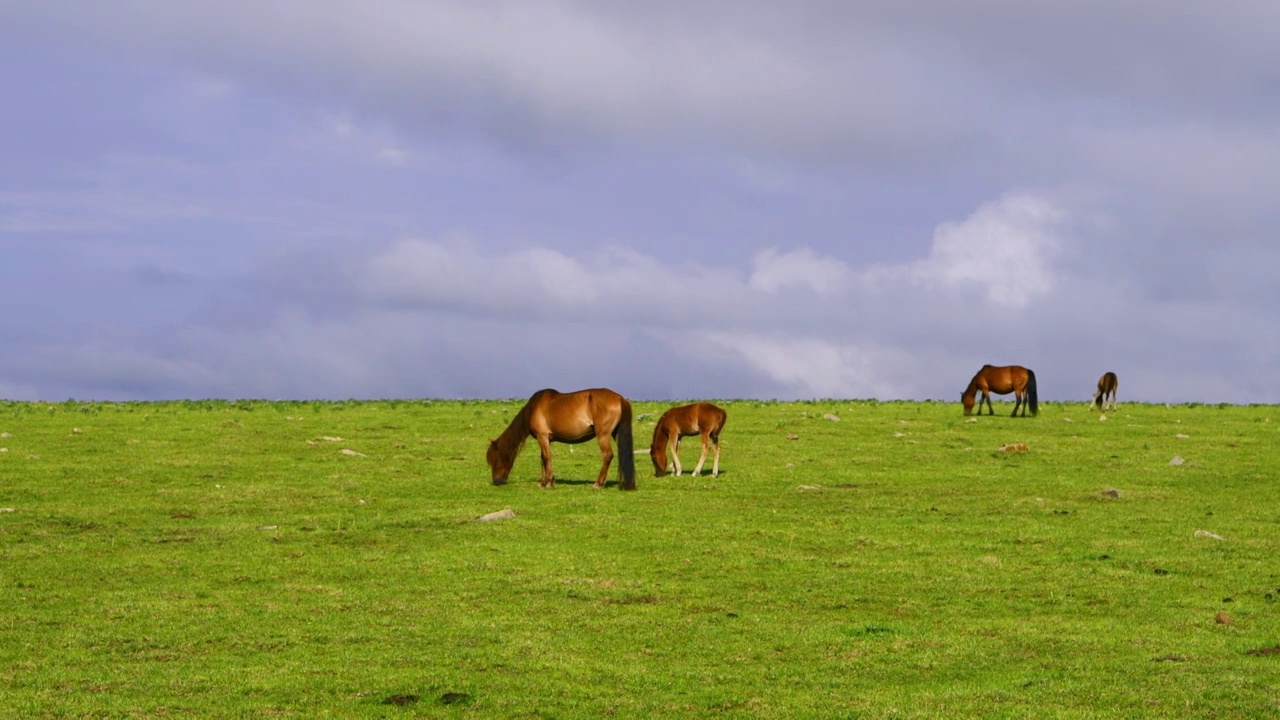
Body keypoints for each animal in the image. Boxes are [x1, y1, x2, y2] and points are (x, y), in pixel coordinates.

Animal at [483, 386, 634, 486]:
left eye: (495, 460)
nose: (497, 481)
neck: (534, 408)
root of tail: (620, 398)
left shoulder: (542, 437)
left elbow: (546, 458)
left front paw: (548, 482)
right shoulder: (546, 439)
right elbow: (543, 459)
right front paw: (543, 481)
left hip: (603, 435)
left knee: (607, 455)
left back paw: (598, 483)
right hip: (615, 434)